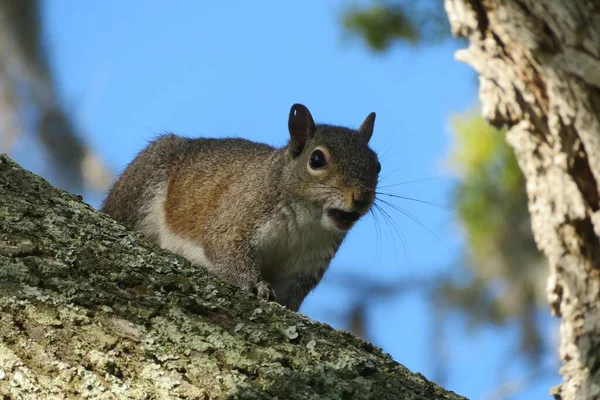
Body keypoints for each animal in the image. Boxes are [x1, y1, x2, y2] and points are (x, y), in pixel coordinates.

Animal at [100, 103, 378, 310]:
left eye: (377, 165)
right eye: (317, 159)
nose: (361, 198)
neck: (306, 220)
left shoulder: (307, 265)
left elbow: (292, 292)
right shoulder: (240, 215)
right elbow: (224, 248)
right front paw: (255, 284)